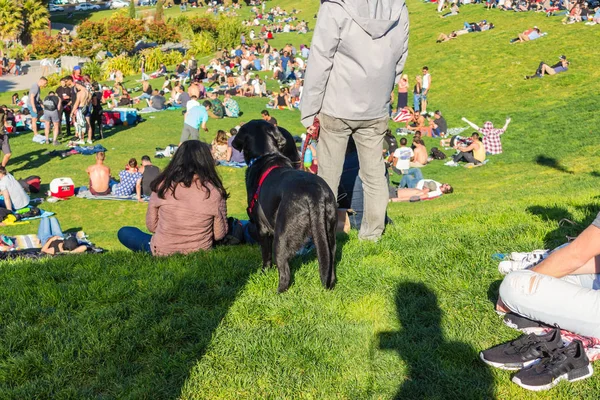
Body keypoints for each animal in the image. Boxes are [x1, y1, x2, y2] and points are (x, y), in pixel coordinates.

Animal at [233, 120, 338, 292]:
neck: (266, 154)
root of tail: (314, 194)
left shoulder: (262, 229)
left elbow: (266, 257)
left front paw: (263, 272)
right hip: (329, 235)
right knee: (330, 265)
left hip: (281, 238)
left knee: (284, 273)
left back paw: (277, 294)